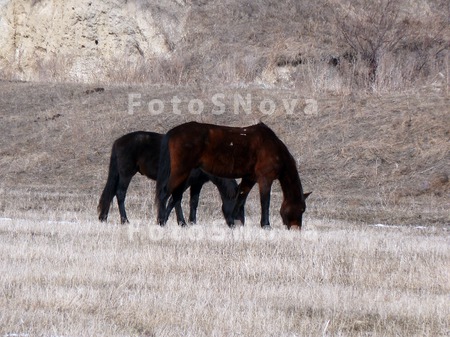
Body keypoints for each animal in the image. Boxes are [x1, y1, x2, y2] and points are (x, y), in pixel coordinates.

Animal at [97, 130, 246, 224]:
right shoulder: (184, 182)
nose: (239, 224)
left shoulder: (197, 183)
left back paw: (104, 218)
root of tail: (118, 141)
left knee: (111, 193)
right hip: (126, 174)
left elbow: (193, 202)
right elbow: (175, 200)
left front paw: (191, 222)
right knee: (120, 194)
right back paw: (125, 220)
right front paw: (168, 220)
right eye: (238, 206)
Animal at [156, 122, 312, 230]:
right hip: (180, 172)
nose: (296, 229)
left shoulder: (250, 178)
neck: (272, 147)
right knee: (164, 194)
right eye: (301, 209)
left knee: (175, 196)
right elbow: (265, 202)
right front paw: (266, 225)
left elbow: (240, 199)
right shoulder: (265, 179)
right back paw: (161, 221)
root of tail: (173, 132)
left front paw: (236, 223)